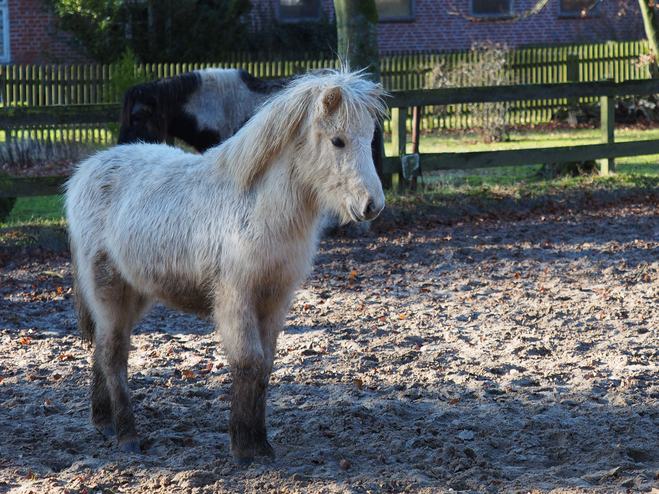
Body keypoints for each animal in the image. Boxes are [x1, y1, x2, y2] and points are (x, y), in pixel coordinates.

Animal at [65, 67, 386, 466]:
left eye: (369, 138)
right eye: (338, 141)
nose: (372, 206)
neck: (259, 206)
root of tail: (84, 172)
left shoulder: (275, 299)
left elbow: (265, 366)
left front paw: (261, 443)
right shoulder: (236, 297)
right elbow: (248, 362)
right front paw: (243, 447)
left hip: (135, 293)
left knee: (101, 348)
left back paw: (103, 422)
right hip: (109, 289)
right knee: (113, 354)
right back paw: (127, 436)